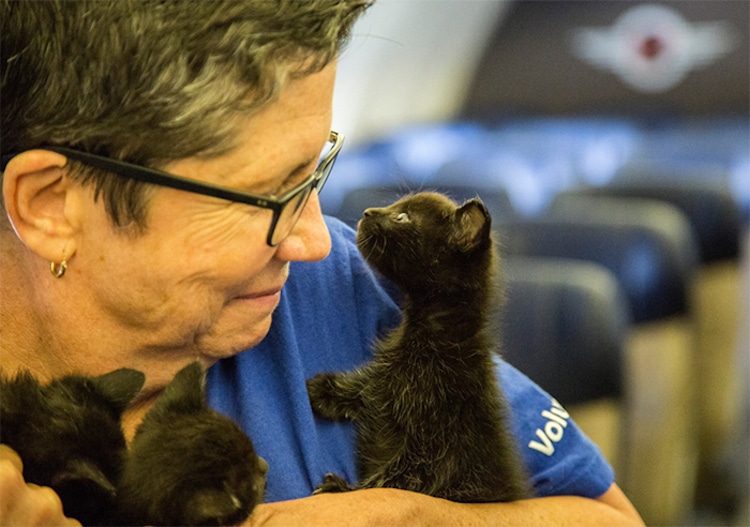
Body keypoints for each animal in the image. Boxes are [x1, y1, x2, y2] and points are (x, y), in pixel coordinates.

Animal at [308, 193, 532, 504]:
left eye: (403, 217)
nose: (367, 212)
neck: (431, 336)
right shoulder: (387, 378)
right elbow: (368, 384)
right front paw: (325, 389)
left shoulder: (437, 446)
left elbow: (397, 478)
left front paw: (344, 490)